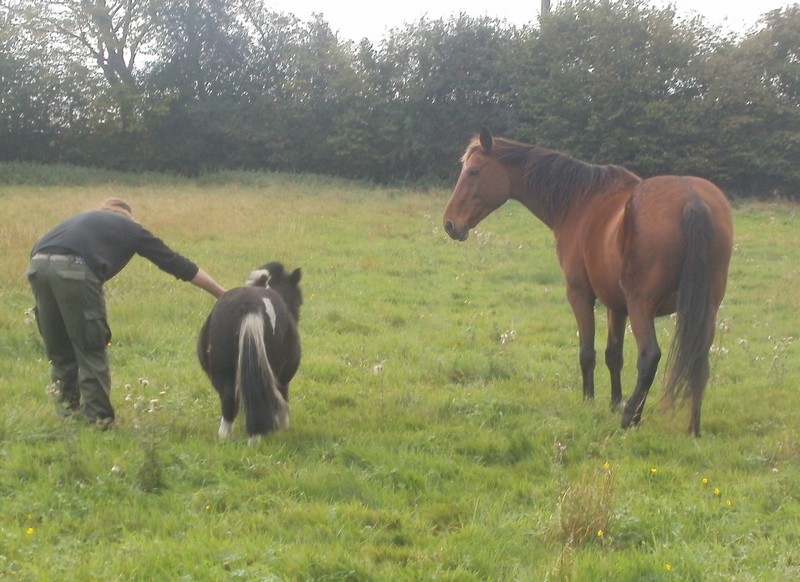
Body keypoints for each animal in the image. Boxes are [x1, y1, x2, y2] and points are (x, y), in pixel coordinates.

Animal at [444, 129, 732, 438]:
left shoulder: (580, 295)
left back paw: (632, 417)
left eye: (473, 171)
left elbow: (587, 352)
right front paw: (614, 402)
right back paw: (693, 428)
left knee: (650, 356)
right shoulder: (616, 306)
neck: (580, 201)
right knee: (698, 360)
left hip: (641, 306)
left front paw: (589, 401)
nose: (449, 224)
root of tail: (692, 199)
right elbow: (613, 355)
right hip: (705, 309)